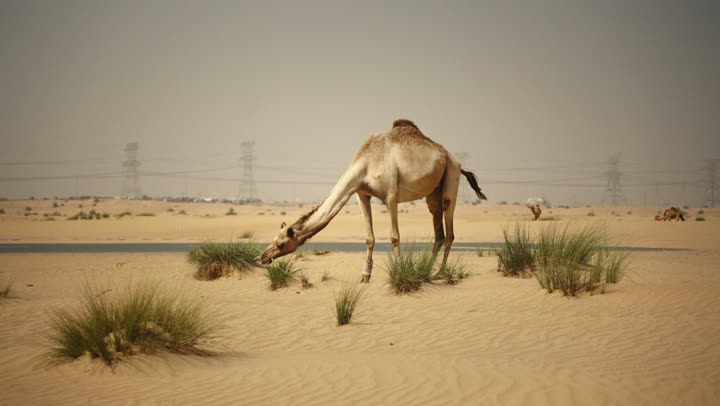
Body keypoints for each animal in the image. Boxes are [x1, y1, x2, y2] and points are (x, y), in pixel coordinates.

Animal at [260, 119, 487, 282]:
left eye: (281, 243)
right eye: (274, 239)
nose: (262, 256)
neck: (366, 163)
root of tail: (454, 159)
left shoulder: (391, 196)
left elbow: (394, 236)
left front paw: (399, 272)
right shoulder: (362, 194)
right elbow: (369, 238)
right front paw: (365, 276)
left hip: (451, 176)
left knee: (449, 229)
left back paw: (439, 272)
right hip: (433, 192)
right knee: (438, 231)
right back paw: (427, 271)